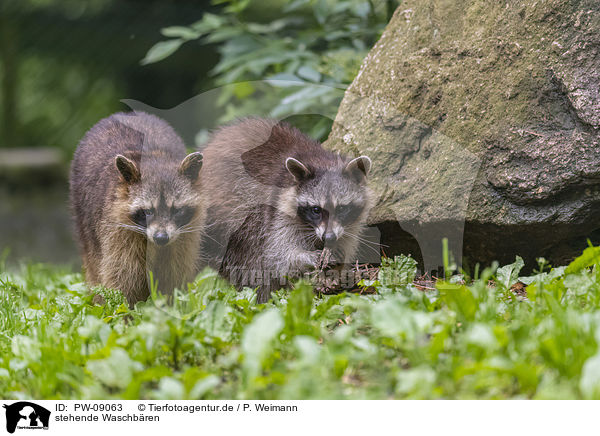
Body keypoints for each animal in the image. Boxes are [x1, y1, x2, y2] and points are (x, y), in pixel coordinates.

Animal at [69, 110, 205, 304]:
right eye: (147, 211)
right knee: (94, 264)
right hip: (83, 217)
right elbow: (122, 274)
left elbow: (175, 271)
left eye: (176, 210)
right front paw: (124, 309)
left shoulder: (185, 235)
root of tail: (127, 113)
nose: (161, 238)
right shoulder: (116, 227)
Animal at [200, 119, 370, 304]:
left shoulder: (350, 225)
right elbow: (279, 255)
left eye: (341, 208)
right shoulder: (278, 208)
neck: (320, 160)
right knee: (251, 252)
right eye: (316, 210)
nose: (329, 237)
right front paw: (306, 257)